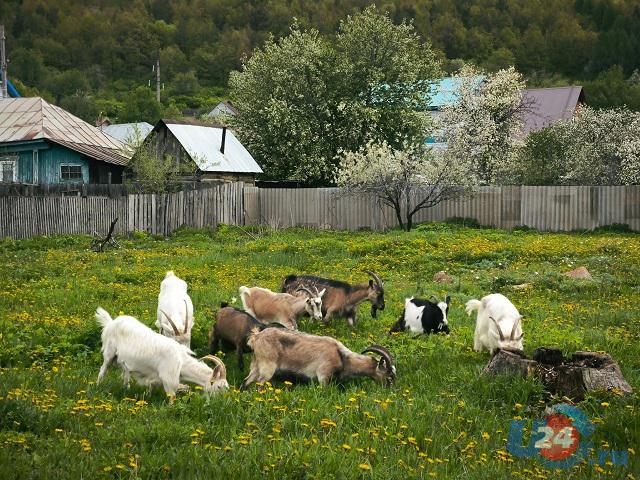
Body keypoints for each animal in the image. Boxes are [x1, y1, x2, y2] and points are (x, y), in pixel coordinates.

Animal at [94, 308, 226, 402]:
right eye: (219, 387)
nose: (221, 403)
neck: (181, 361)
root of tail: (111, 322)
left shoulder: (157, 379)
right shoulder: (169, 380)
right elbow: (173, 398)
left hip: (124, 362)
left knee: (125, 375)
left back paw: (126, 390)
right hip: (109, 353)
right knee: (103, 369)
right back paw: (98, 386)